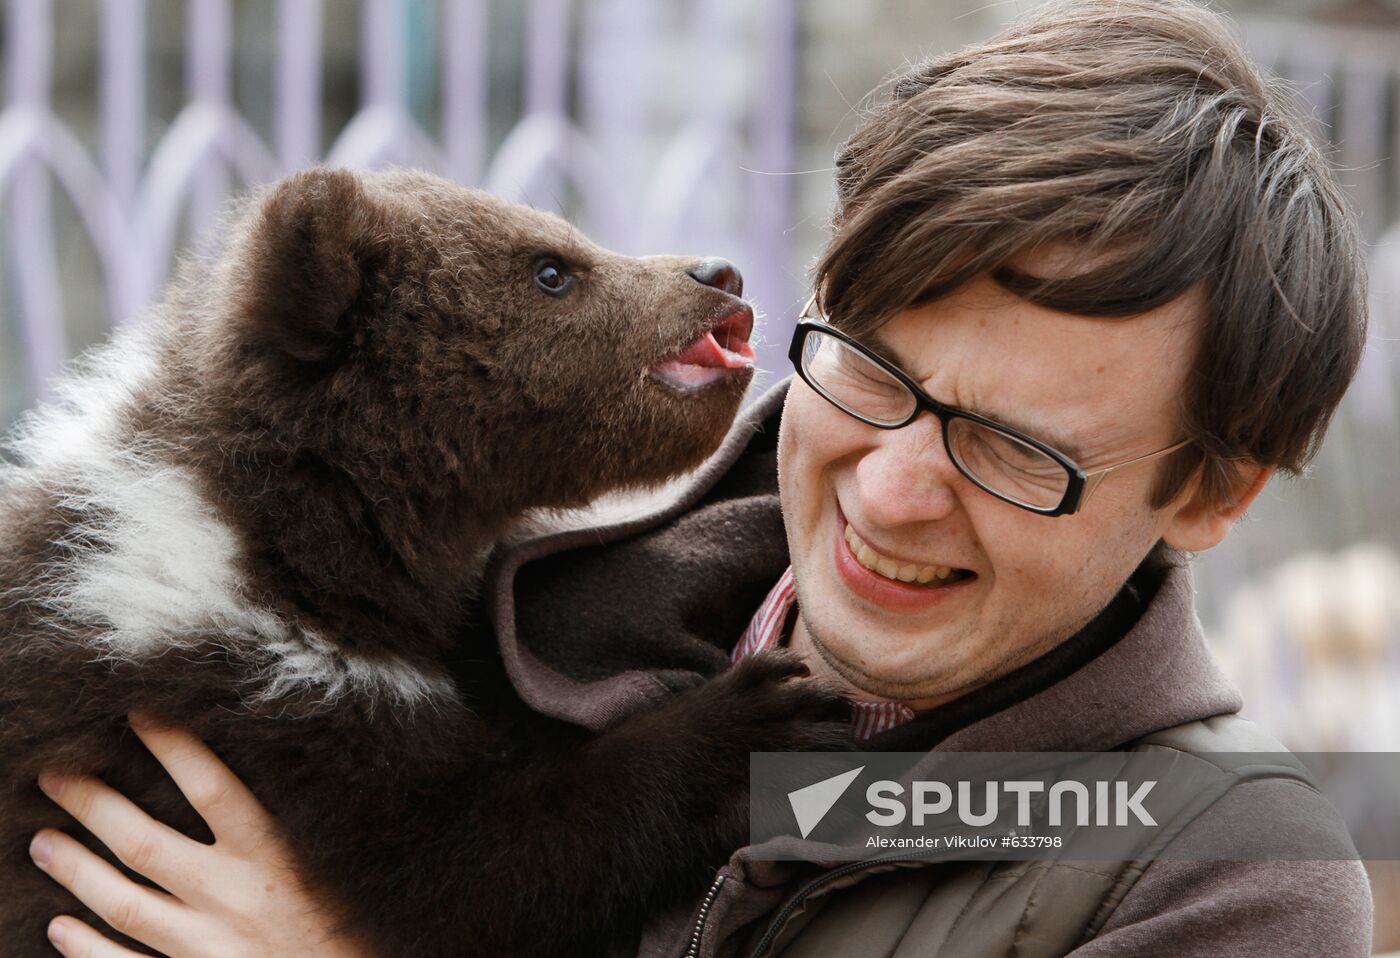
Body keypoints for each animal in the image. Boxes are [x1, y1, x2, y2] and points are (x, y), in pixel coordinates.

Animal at [0, 167, 850, 958]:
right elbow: (465, 871)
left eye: (565, 237)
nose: (717, 273)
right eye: (550, 270)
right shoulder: (222, 707)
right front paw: (758, 726)